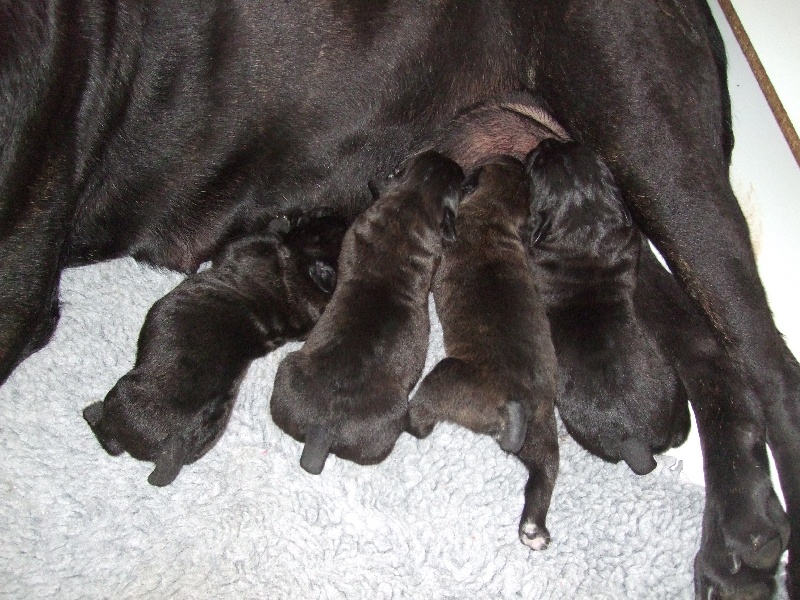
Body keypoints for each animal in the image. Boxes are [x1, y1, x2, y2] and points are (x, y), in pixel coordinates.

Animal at [84, 212, 346, 488]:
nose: (321, 211)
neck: (299, 280)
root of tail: (173, 446)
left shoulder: (247, 247)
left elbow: (250, 239)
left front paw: (280, 224)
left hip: (120, 399)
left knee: (110, 439)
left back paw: (91, 412)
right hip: (208, 433)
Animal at [410, 156, 560, 552]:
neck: (494, 211)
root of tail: (516, 401)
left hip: (445, 379)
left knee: (422, 415)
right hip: (543, 432)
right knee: (544, 474)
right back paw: (533, 529)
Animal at [520, 138, 692, 476]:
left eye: (539, 163)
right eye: (574, 146)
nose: (547, 140)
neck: (583, 221)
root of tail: (636, 442)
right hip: (676, 395)